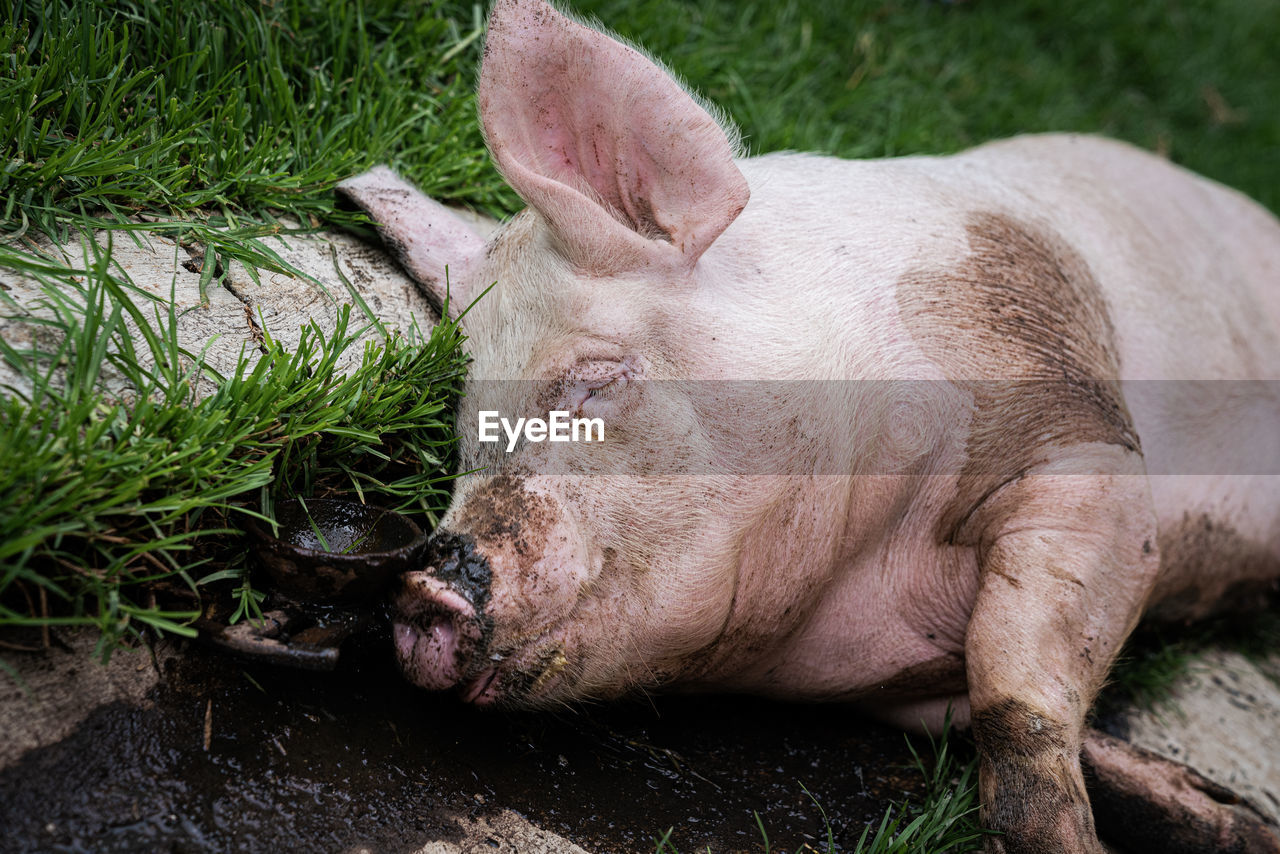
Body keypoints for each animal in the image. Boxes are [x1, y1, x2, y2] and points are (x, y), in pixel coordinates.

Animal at [337, 3, 1280, 850]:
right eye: (468, 423)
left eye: (596, 379)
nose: (421, 585)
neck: (857, 577)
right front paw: (1228, 820)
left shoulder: (1078, 430)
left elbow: (1014, 686)